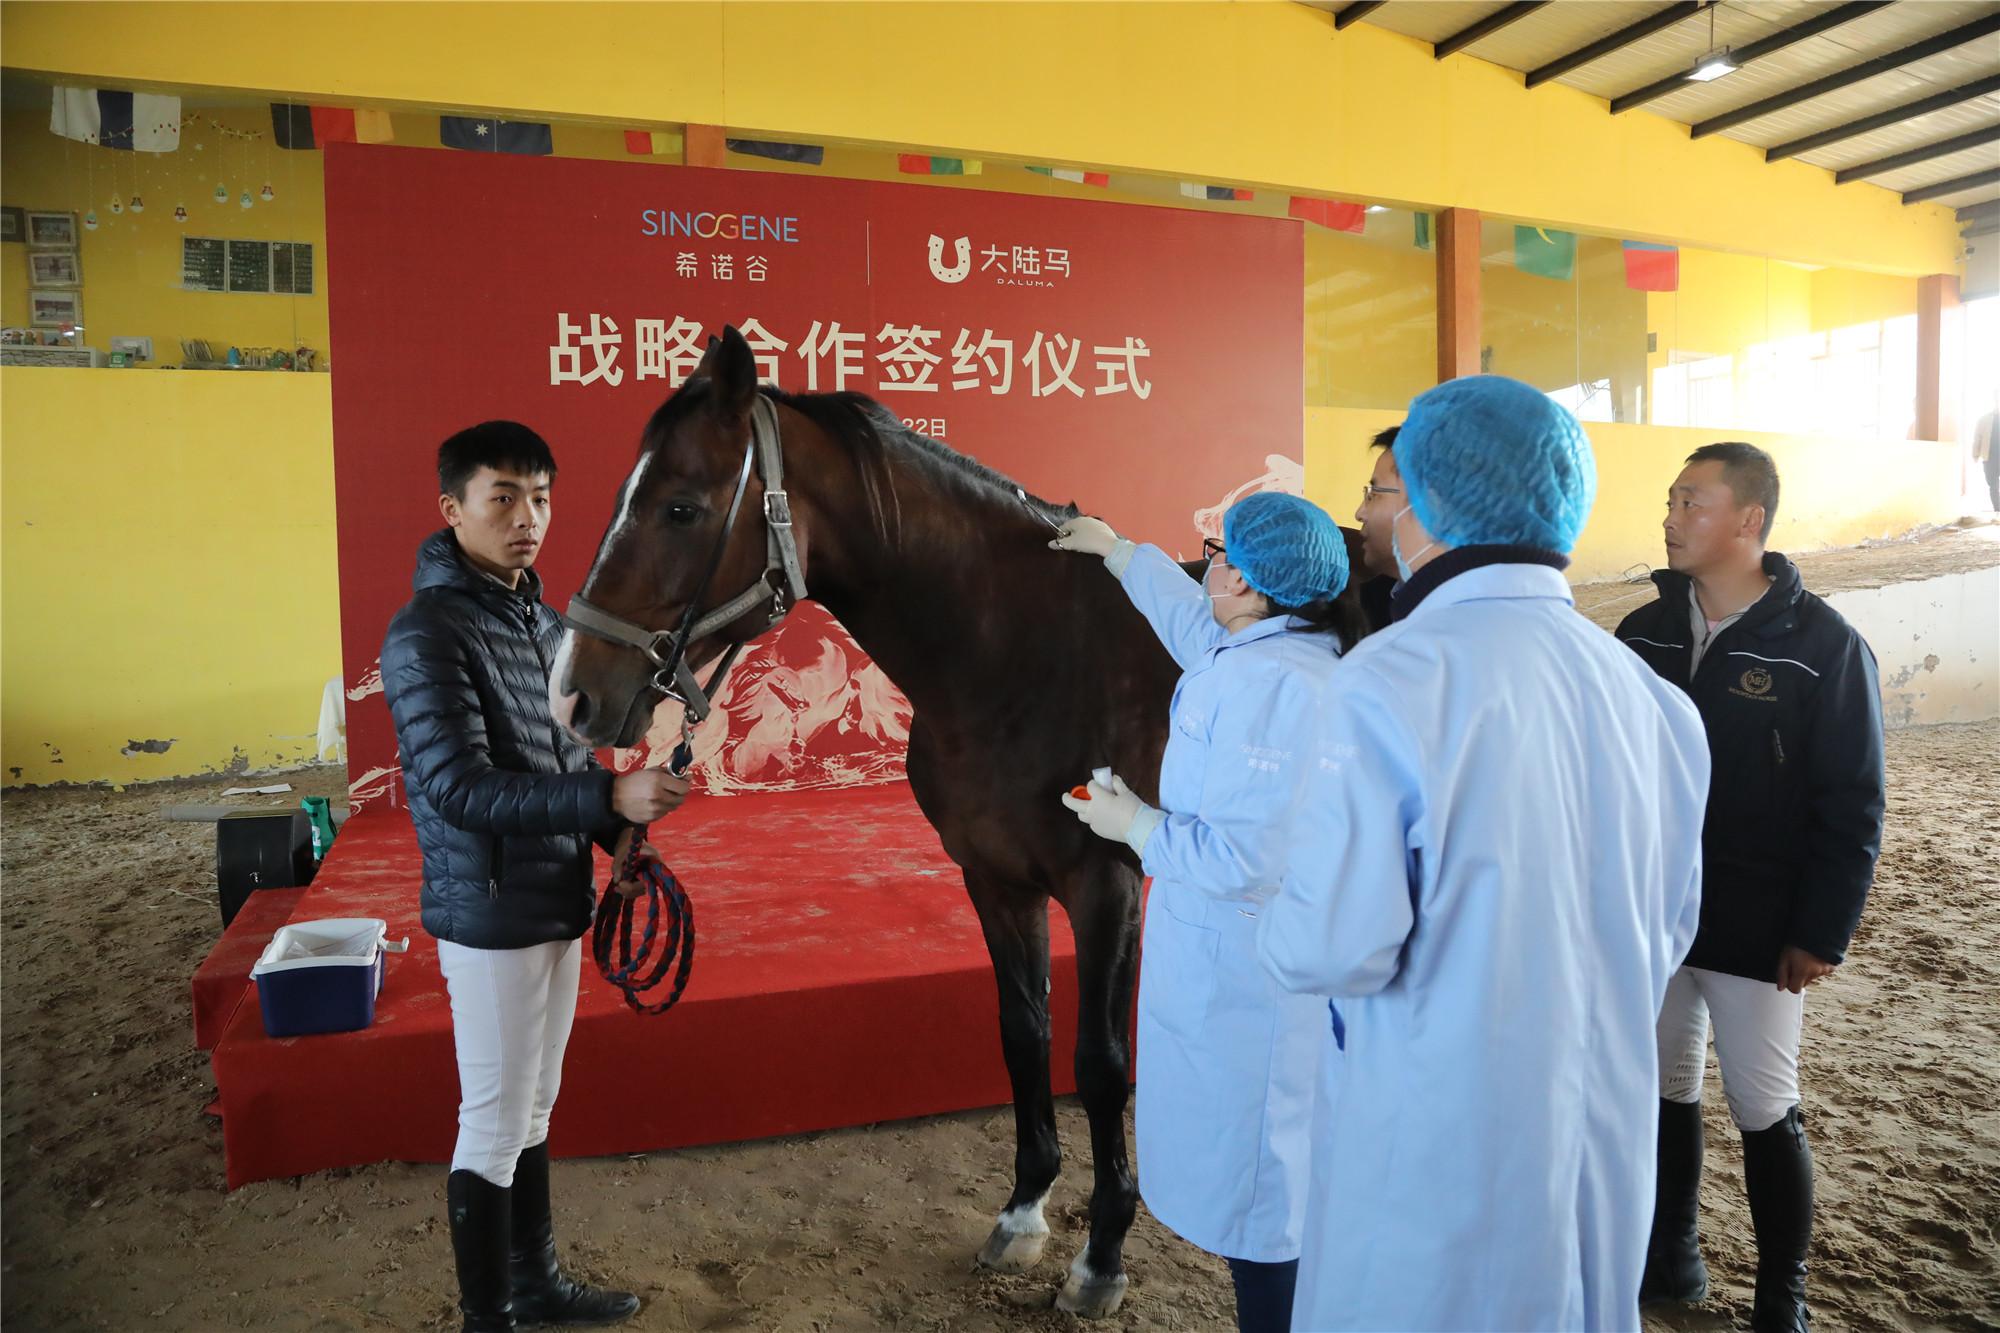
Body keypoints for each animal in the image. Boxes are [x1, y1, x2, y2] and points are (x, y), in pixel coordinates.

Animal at [556, 324, 1352, 1304]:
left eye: (680, 508)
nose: (572, 694)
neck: (1020, 651)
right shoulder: (994, 876)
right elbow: (1023, 1033)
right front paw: (1024, 1211)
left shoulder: (1107, 883)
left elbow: (1100, 1063)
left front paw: (1103, 1250)